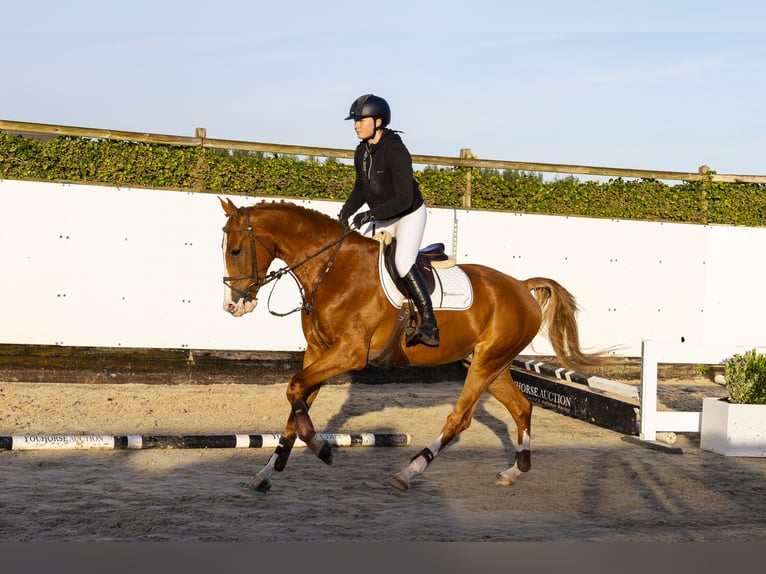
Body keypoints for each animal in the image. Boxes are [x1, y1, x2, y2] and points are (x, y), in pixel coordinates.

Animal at [220, 196, 608, 492]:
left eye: (236, 250)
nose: (234, 305)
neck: (332, 269)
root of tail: (521, 286)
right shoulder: (318, 352)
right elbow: (295, 401)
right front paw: (267, 471)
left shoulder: (348, 354)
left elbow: (294, 390)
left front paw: (323, 449)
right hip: (490, 364)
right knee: (522, 407)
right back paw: (515, 470)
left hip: (485, 364)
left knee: (460, 419)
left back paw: (409, 471)